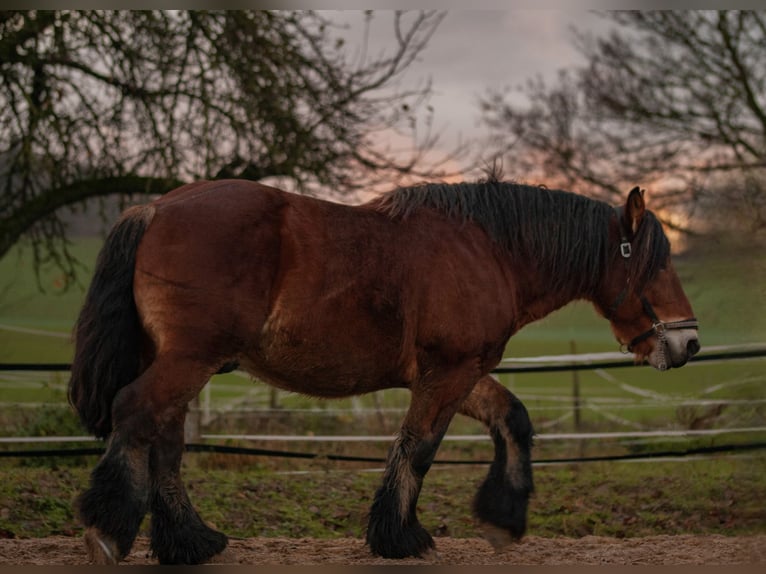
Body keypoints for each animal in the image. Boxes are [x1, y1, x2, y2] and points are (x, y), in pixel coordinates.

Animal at [67, 180, 704, 568]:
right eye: (657, 263)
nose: (689, 342)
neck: (489, 251)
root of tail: (153, 209)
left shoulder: (461, 372)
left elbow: (512, 420)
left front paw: (502, 517)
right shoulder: (447, 373)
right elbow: (418, 447)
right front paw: (400, 537)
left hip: (181, 362)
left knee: (164, 440)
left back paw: (190, 541)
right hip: (189, 360)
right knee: (137, 416)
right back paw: (110, 529)